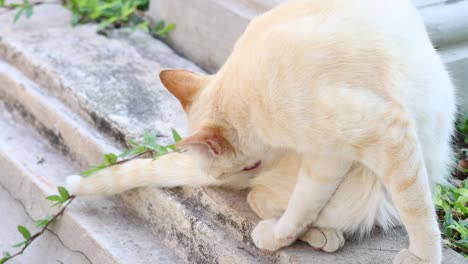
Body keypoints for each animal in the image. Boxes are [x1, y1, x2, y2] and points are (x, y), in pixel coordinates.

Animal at [64, 0, 456, 262]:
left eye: (247, 164)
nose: (239, 176)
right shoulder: (328, 156)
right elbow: (301, 207)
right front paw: (281, 235)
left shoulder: (379, 133)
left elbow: (416, 209)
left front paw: (423, 256)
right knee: (262, 200)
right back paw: (319, 235)